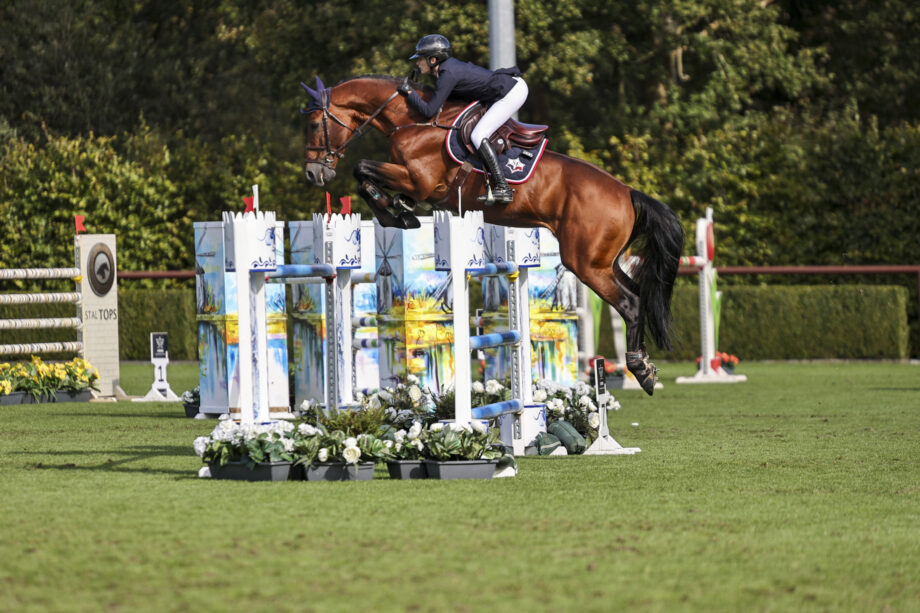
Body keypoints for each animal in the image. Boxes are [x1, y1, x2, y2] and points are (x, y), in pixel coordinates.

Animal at [302, 76, 684, 394]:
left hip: (586, 263)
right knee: (639, 295)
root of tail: (628, 193)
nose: (313, 174)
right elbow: (367, 174)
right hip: (606, 261)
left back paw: (640, 370)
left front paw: (395, 213)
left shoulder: (420, 181)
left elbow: (362, 168)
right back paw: (646, 366)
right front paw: (399, 209)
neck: (415, 121)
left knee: (630, 302)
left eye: (313, 124)